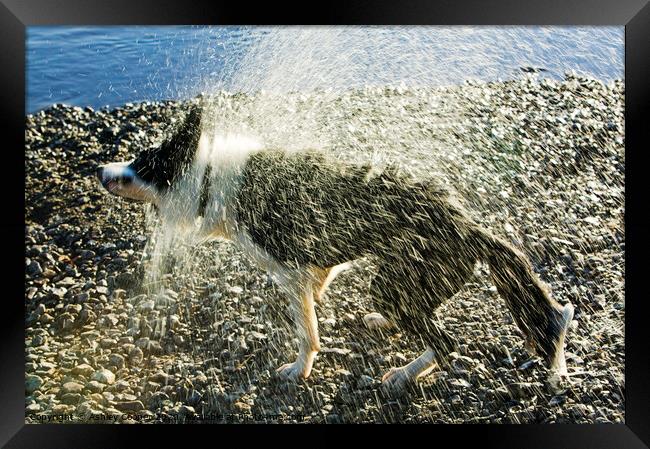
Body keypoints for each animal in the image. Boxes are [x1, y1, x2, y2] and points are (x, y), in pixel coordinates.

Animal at [96, 103, 572, 390]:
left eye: (141, 165)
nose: (101, 170)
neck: (208, 175)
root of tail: (472, 228)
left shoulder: (288, 269)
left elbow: (307, 331)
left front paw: (299, 369)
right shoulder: (313, 258)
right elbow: (322, 280)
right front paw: (322, 294)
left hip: (397, 280)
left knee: (444, 342)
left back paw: (403, 374)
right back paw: (385, 325)